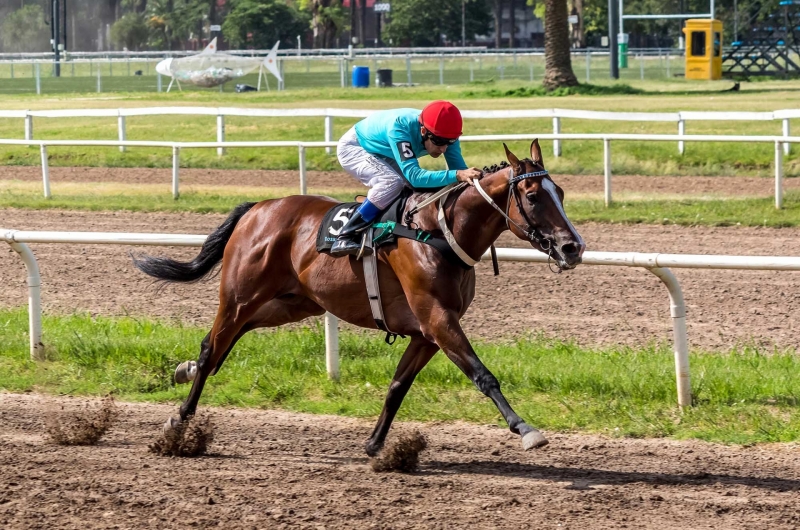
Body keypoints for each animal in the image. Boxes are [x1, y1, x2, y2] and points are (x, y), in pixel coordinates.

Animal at [134, 139, 584, 454]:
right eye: (532, 196)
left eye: (560, 191)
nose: (572, 247)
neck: (437, 230)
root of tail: (257, 208)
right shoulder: (438, 318)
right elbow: (482, 374)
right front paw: (526, 430)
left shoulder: (427, 332)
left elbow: (398, 385)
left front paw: (375, 445)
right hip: (240, 295)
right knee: (214, 345)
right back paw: (180, 420)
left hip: (291, 303)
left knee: (223, 342)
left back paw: (186, 370)